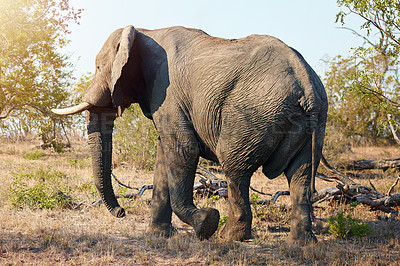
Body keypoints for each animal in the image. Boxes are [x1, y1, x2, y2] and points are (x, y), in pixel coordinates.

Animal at [52, 25, 328, 243]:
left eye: (99, 67)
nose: (121, 212)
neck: (146, 31)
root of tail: (307, 84)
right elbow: (165, 155)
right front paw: (158, 235)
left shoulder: (168, 93)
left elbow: (184, 149)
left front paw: (206, 222)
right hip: (310, 122)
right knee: (301, 174)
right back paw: (301, 243)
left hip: (253, 113)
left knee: (235, 169)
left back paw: (229, 237)